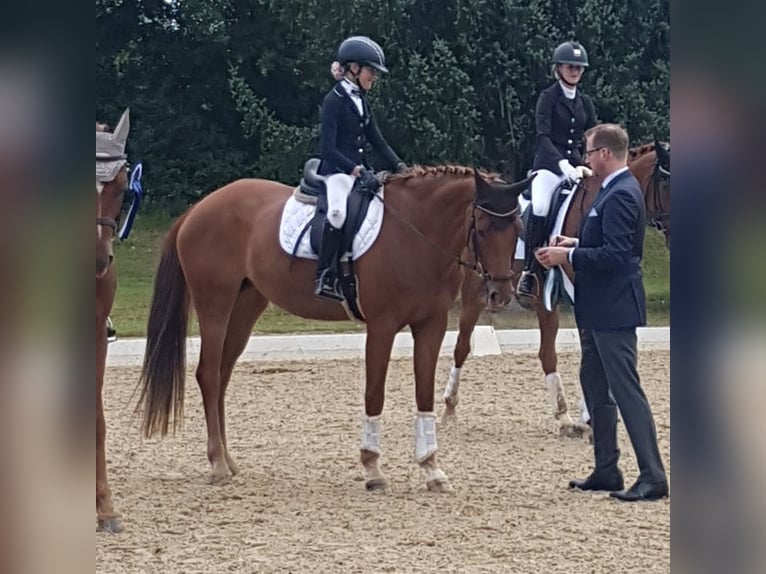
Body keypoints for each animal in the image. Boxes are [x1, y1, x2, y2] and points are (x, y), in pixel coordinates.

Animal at [138, 164, 536, 492]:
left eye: (518, 228)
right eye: (482, 229)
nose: (499, 293)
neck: (416, 231)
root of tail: (198, 209)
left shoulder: (431, 325)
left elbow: (424, 393)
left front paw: (431, 469)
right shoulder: (382, 325)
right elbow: (374, 394)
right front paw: (372, 469)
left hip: (246, 305)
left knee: (221, 375)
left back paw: (228, 459)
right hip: (215, 304)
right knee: (208, 374)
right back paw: (218, 464)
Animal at [444, 142, 672, 434]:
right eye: (665, 181)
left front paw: (588, 414)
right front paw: (578, 416)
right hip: (476, 294)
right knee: (462, 346)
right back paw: (449, 407)